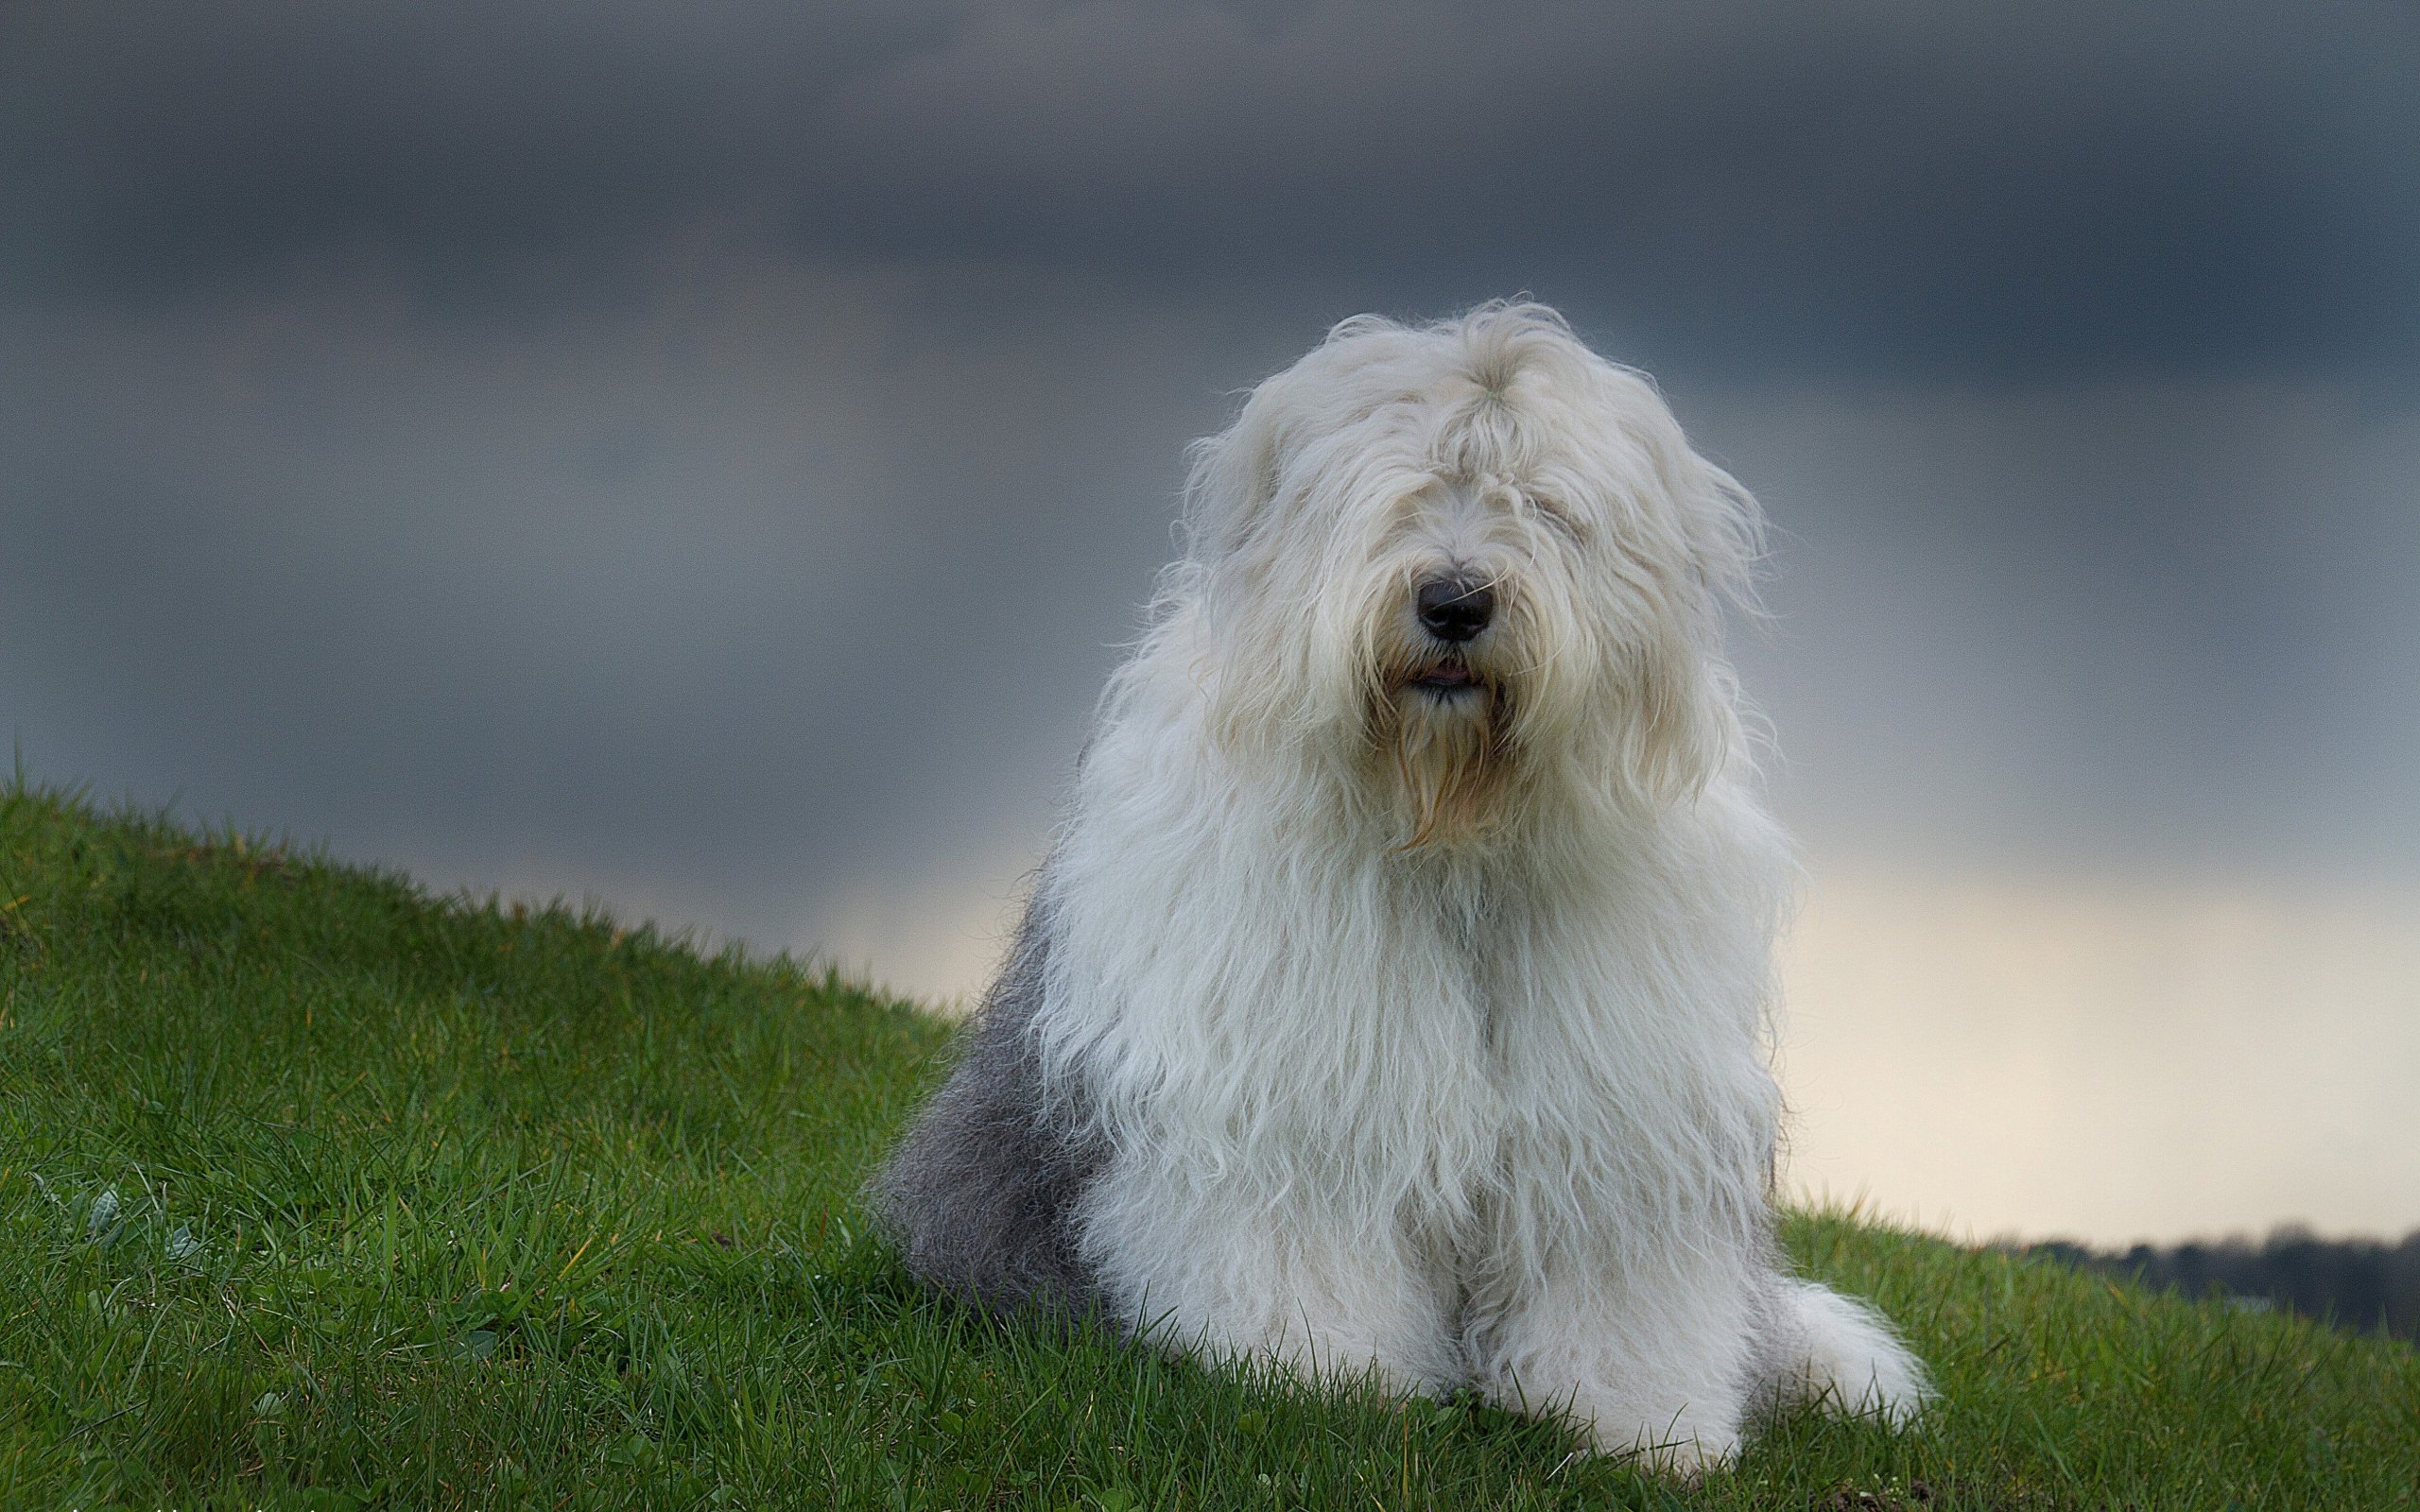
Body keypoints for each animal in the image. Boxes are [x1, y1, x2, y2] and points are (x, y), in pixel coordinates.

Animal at [871, 301, 1926, 1470]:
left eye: (1544, 504)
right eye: (1400, 490)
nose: (1454, 601)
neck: (1449, 829)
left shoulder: (1612, 1110)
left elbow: (1610, 1273)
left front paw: (1644, 1428)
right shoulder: (1296, 1087)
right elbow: (1305, 1237)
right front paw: (1319, 1380)